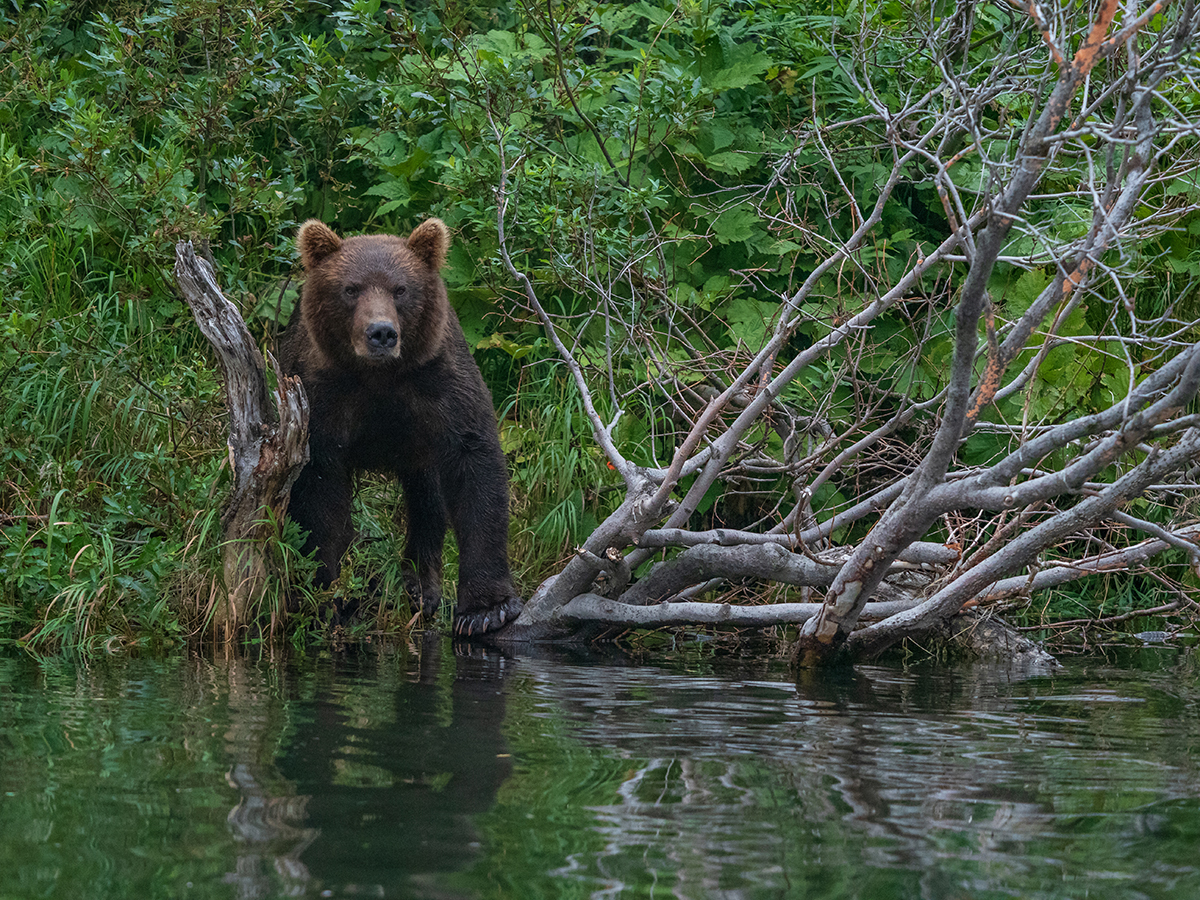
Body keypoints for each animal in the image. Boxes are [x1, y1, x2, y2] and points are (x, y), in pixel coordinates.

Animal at [280, 219, 525, 638]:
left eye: (400, 289)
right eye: (351, 288)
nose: (381, 332)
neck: (379, 376)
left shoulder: (438, 384)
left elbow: (474, 464)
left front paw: (485, 609)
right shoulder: (323, 396)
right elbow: (317, 492)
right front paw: (326, 596)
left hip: (419, 449)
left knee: (427, 500)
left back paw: (419, 585)